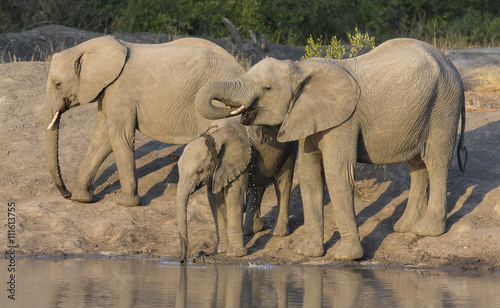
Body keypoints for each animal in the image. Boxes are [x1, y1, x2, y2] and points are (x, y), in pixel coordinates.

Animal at [46, 36, 245, 206]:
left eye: (57, 84)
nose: (67, 194)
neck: (87, 48)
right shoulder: (108, 91)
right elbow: (102, 138)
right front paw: (82, 199)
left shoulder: (120, 91)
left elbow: (119, 137)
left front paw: (125, 203)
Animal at [177, 116, 296, 262]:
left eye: (199, 171)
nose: (183, 260)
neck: (215, 135)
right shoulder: (219, 170)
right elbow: (214, 199)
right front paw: (220, 251)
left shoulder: (240, 161)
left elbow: (234, 197)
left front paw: (236, 254)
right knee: (259, 185)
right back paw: (252, 230)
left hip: (288, 146)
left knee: (282, 183)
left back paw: (278, 233)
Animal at [194, 38, 464, 260]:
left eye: (267, 88)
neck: (299, 68)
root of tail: (451, 64)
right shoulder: (307, 116)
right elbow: (309, 174)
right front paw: (308, 253)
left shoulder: (345, 120)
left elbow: (337, 172)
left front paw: (346, 256)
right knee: (416, 164)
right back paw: (404, 227)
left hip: (443, 103)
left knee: (436, 159)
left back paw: (428, 231)